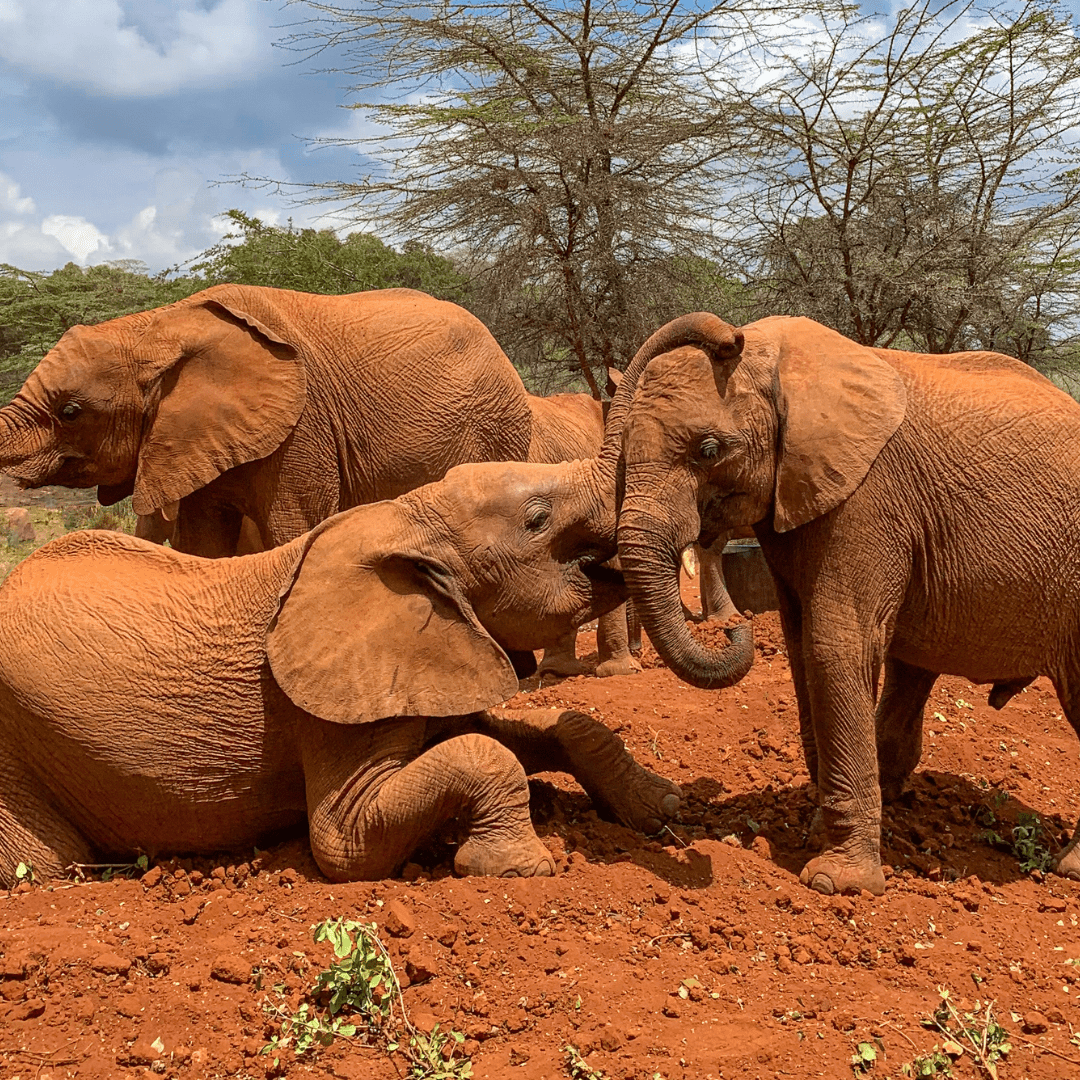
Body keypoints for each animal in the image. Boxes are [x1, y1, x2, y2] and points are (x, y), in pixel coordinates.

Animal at [0, 451, 682, 889]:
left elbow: (540, 731)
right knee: (47, 864)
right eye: (537, 519)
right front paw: (521, 871)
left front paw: (665, 810)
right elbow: (346, 842)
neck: (408, 519)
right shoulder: (327, 708)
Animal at [613, 311, 1080, 894]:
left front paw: (835, 883)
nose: (735, 628)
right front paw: (817, 837)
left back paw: (1069, 868)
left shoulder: (867, 500)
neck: (775, 356)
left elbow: (833, 645)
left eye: (708, 450)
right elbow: (800, 644)